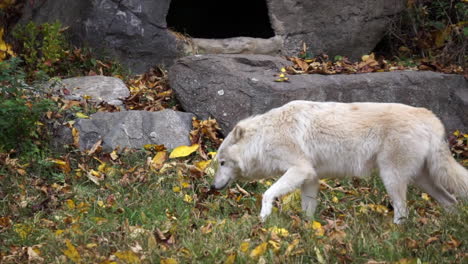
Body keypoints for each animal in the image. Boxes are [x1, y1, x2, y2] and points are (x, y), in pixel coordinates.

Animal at [211, 100, 468, 223]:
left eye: (222, 163)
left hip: (391, 178)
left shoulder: (299, 169)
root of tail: (432, 118)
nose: (212, 187)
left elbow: (267, 194)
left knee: (403, 210)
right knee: (451, 201)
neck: (265, 136)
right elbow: (308, 210)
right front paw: (307, 230)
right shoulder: (310, 178)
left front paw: (264, 218)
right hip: (422, 179)